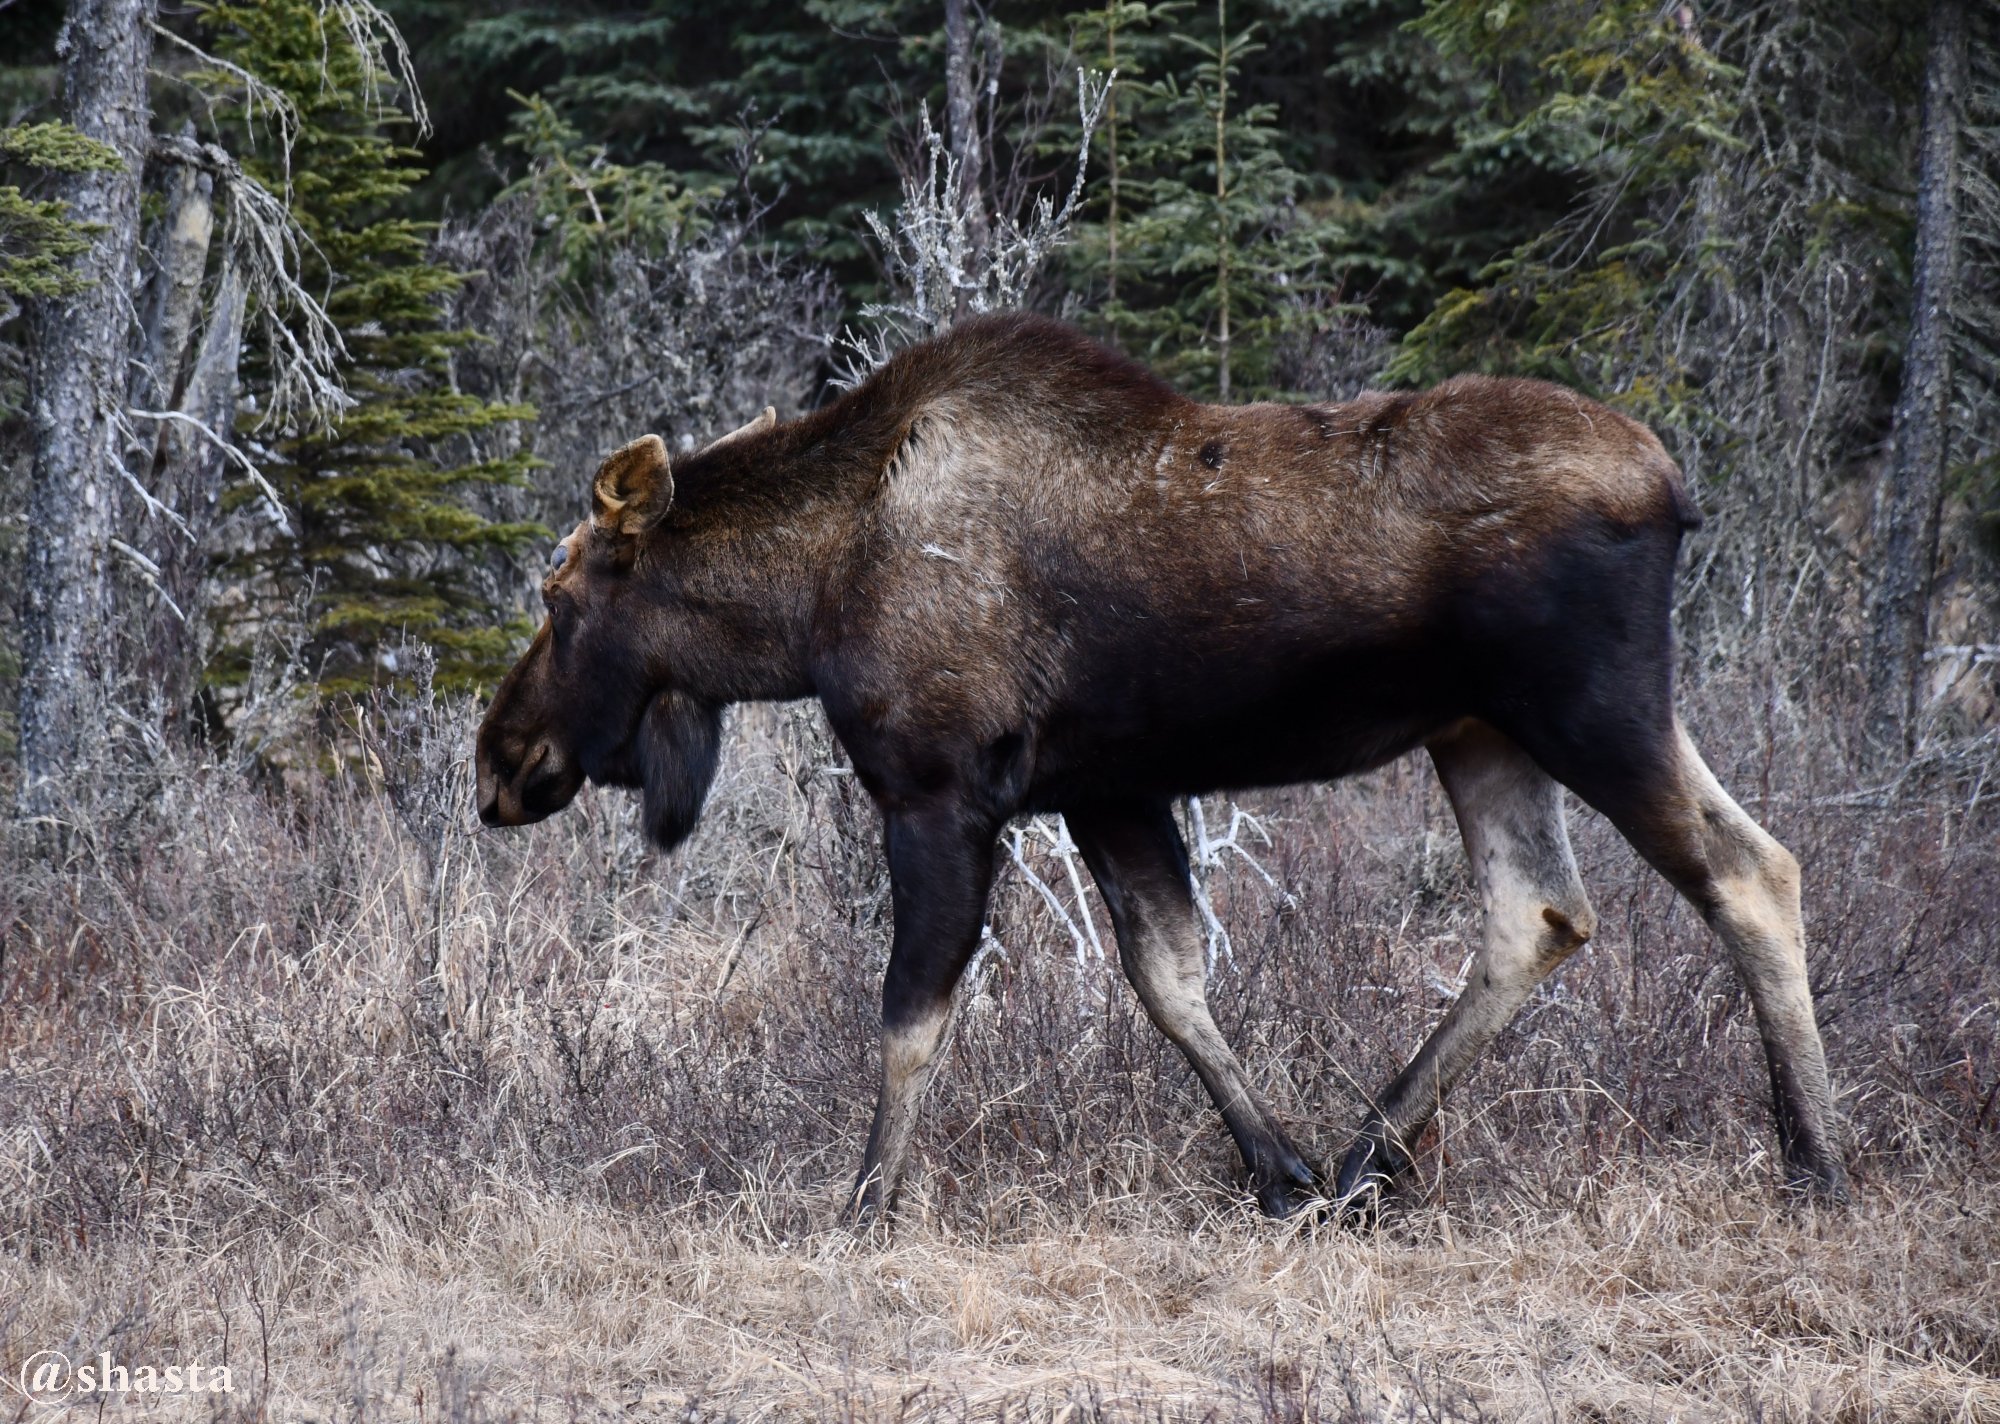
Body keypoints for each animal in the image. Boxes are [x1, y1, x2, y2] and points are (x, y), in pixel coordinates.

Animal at [476, 318, 1848, 1216]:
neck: (802, 607)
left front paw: (864, 1203)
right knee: (1541, 910)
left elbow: (912, 1014)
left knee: (1747, 868)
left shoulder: (938, 791)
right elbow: (1169, 977)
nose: (498, 759)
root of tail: (1672, 488)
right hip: (1483, 731)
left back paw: (1815, 1159)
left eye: (556, 594)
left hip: (1588, 707)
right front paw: (1275, 1170)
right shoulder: (1105, 786)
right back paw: (1362, 1159)